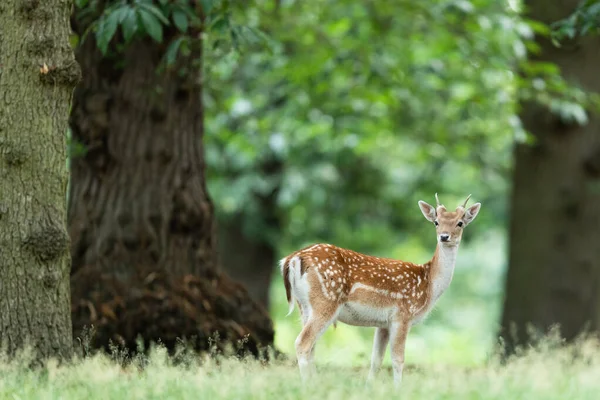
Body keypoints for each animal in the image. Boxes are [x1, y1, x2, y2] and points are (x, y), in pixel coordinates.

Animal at [278, 195, 480, 386]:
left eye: (460, 223)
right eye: (436, 222)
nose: (444, 236)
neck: (428, 284)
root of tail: (292, 259)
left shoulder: (383, 323)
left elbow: (376, 360)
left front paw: (369, 388)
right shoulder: (402, 315)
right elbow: (398, 359)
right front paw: (398, 390)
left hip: (304, 306)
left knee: (311, 346)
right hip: (326, 301)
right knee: (303, 343)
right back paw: (308, 386)